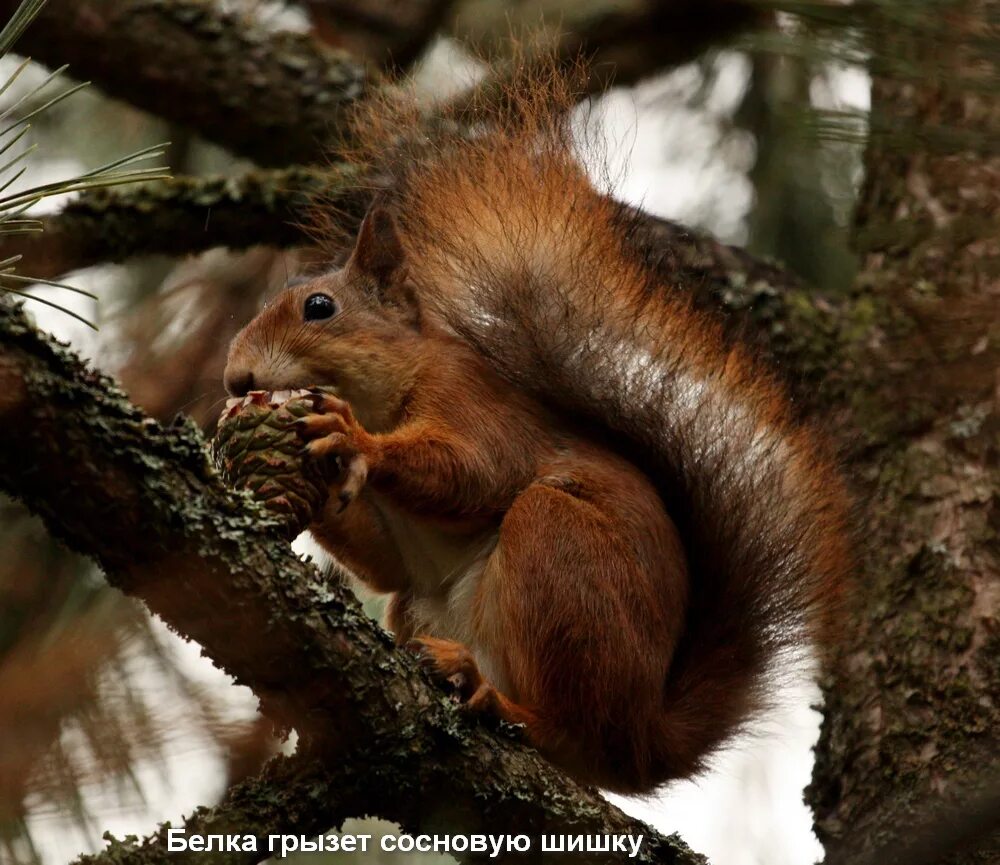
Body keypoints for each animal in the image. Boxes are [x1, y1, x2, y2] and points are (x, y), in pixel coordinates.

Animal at [225, 71, 852, 792]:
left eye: (319, 307)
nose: (235, 377)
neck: (396, 386)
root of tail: (643, 742)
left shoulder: (473, 405)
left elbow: (476, 474)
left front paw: (354, 438)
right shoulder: (393, 547)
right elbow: (385, 562)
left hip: (560, 552)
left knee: (566, 724)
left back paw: (496, 697)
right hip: (427, 607)